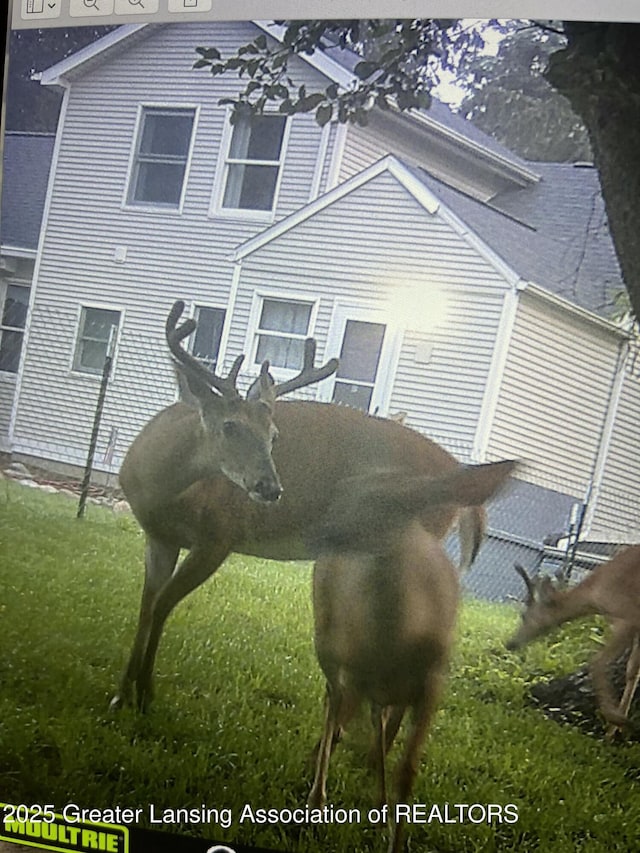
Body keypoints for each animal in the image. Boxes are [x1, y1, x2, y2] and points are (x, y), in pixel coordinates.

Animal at [112, 302, 488, 712]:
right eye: (230, 426)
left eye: (273, 436)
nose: (270, 487)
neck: (159, 485)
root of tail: (456, 468)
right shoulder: (158, 536)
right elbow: (147, 604)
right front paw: (121, 692)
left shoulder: (218, 536)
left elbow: (163, 605)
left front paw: (145, 694)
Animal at [308, 460, 516, 852]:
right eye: (345, 490)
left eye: (388, 503)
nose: (321, 530)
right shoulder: (356, 670)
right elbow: (346, 718)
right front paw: (323, 802)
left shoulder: (433, 683)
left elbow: (407, 769)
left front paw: (392, 831)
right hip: (326, 637)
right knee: (333, 701)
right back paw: (320, 794)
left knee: (369, 721)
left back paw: (377, 809)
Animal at [504, 544, 640, 732]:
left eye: (523, 616)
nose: (510, 643)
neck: (595, 593)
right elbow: (632, 671)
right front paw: (614, 730)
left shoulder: (628, 617)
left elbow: (597, 662)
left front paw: (618, 719)